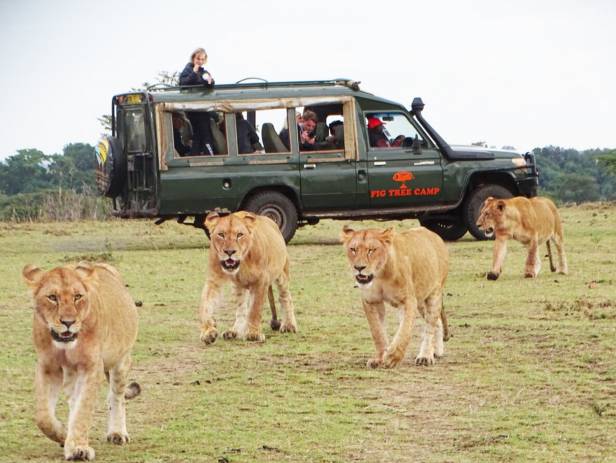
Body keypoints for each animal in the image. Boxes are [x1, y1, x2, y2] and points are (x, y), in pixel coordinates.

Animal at [22, 262, 139, 462]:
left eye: (78, 297)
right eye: (52, 297)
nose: (68, 322)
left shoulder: (91, 367)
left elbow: (83, 409)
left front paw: (78, 449)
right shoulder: (47, 367)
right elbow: (43, 417)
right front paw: (63, 435)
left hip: (121, 360)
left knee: (116, 396)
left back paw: (117, 433)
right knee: (73, 402)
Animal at [199, 212, 298, 346]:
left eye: (240, 235)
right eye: (221, 234)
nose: (229, 251)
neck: (242, 262)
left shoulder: (261, 281)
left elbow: (255, 310)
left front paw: (253, 334)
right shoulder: (213, 280)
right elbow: (205, 305)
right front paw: (208, 332)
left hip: (282, 273)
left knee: (285, 297)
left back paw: (289, 325)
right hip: (238, 286)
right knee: (241, 308)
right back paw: (234, 332)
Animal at [342, 226, 448, 370]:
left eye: (371, 250)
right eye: (353, 249)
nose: (359, 267)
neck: (380, 275)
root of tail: (433, 234)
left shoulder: (408, 301)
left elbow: (404, 331)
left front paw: (392, 357)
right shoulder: (371, 301)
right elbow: (377, 332)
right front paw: (379, 358)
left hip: (433, 294)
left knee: (430, 325)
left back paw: (425, 356)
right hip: (420, 301)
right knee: (437, 322)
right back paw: (436, 352)